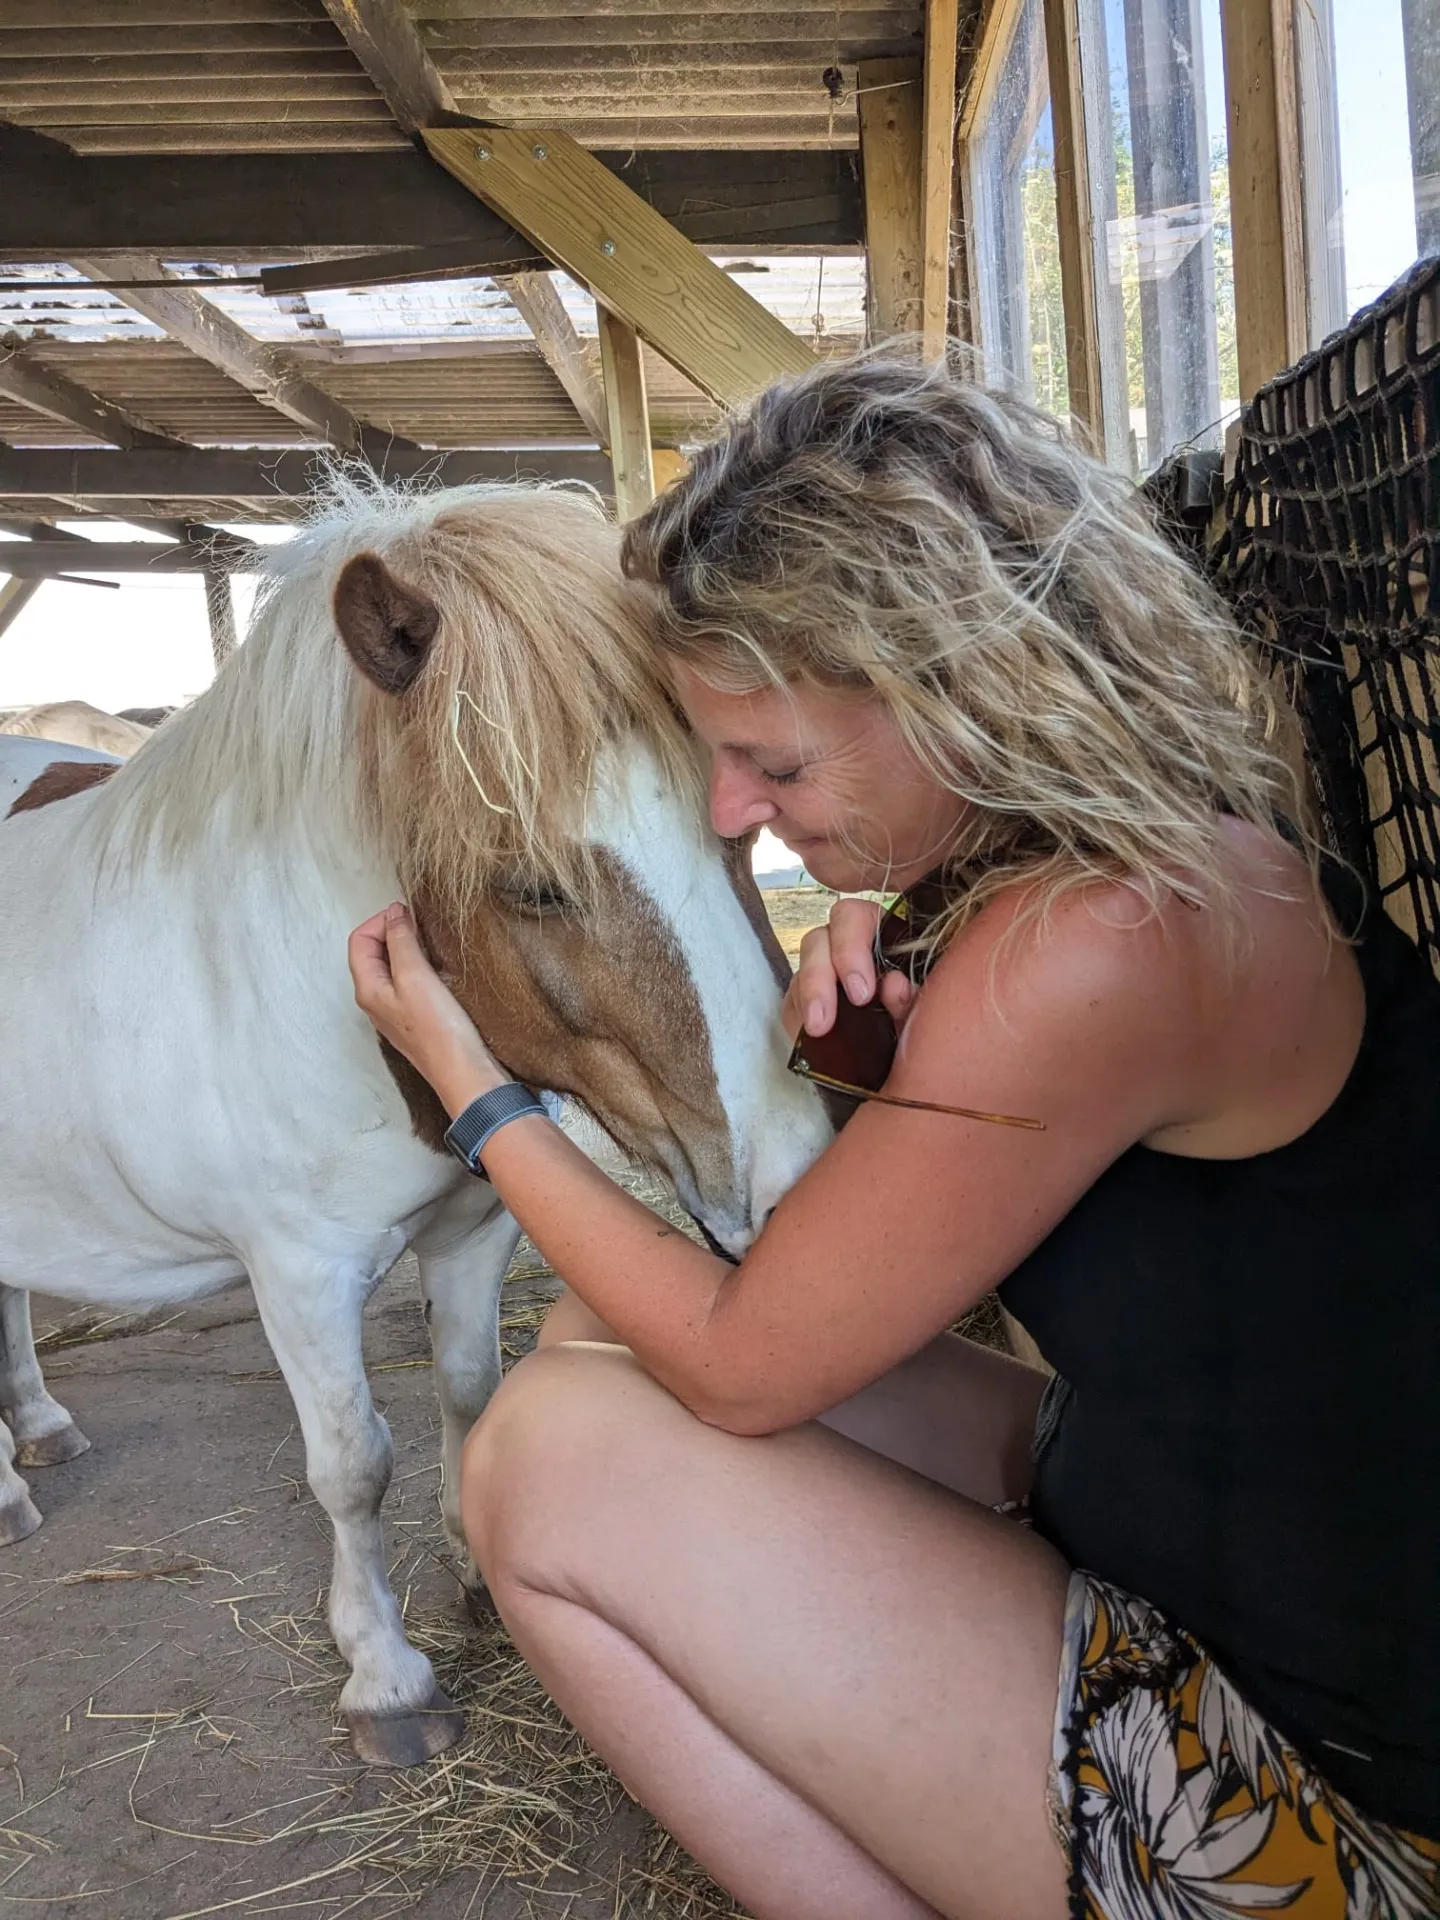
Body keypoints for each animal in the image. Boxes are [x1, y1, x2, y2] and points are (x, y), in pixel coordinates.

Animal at [0, 479, 832, 1766]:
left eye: (740, 829)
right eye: (531, 883)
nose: (791, 1180)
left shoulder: (478, 1226)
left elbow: (470, 1392)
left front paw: (475, 1568)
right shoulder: (299, 1272)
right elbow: (352, 1467)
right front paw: (385, 1675)